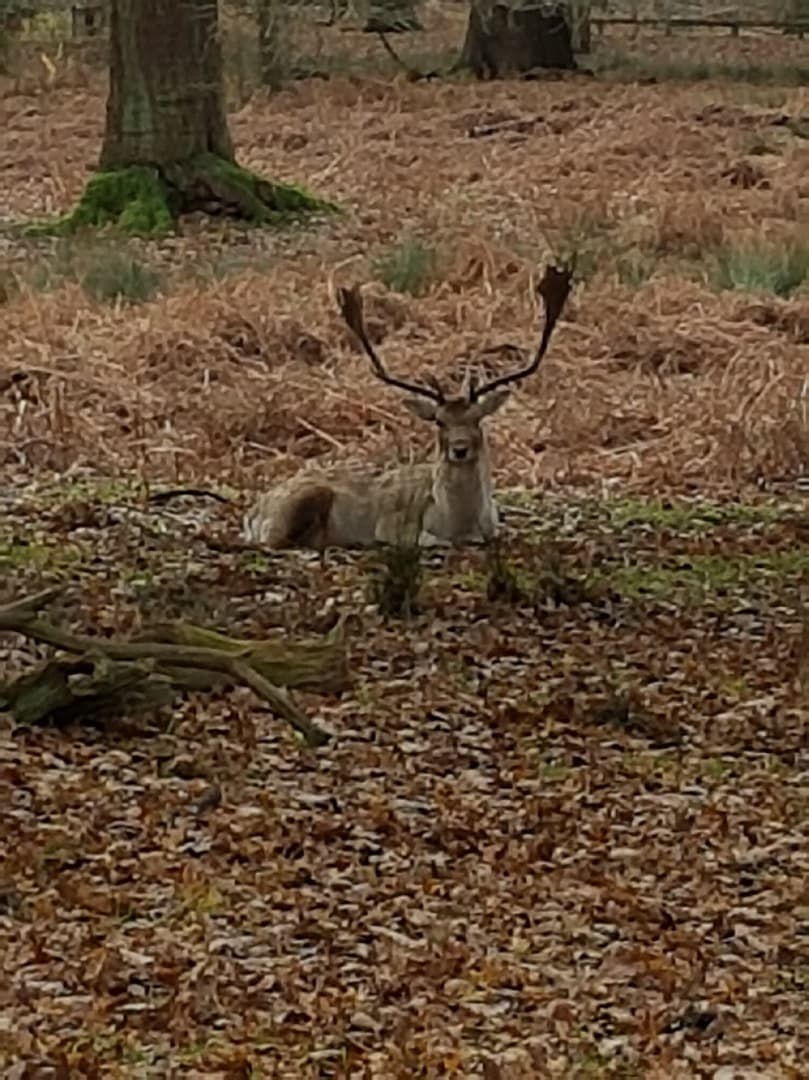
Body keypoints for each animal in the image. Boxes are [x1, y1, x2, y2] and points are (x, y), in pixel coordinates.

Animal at [242, 262, 573, 552]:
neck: (463, 524)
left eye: (478, 419)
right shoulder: (397, 529)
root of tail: (253, 511)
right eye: (439, 421)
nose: (460, 449)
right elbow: (429, 541)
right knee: (274, 541)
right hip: (298, 503)